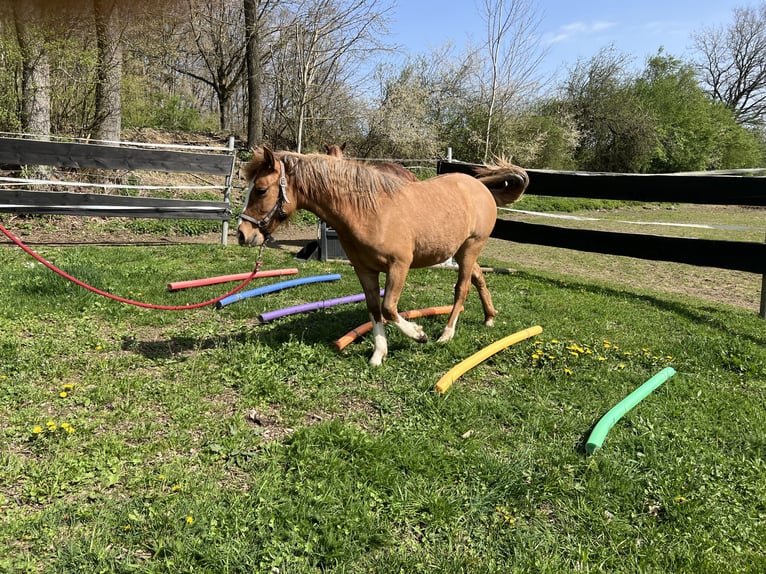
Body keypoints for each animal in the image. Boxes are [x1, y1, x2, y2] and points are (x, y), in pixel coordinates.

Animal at [238, 146, 528, 366]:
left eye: (261, 189)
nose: (243, 234)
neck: (369, 211)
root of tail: (479, 186)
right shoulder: (364, 270)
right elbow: (374, 309)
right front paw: (379, 353)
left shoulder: (399, 266)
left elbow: (389, 307)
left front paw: (419, 334)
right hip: (462, 251)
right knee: (478, 277)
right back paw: (489, 317)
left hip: (469, 248)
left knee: (462, 288)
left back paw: (446, 334)